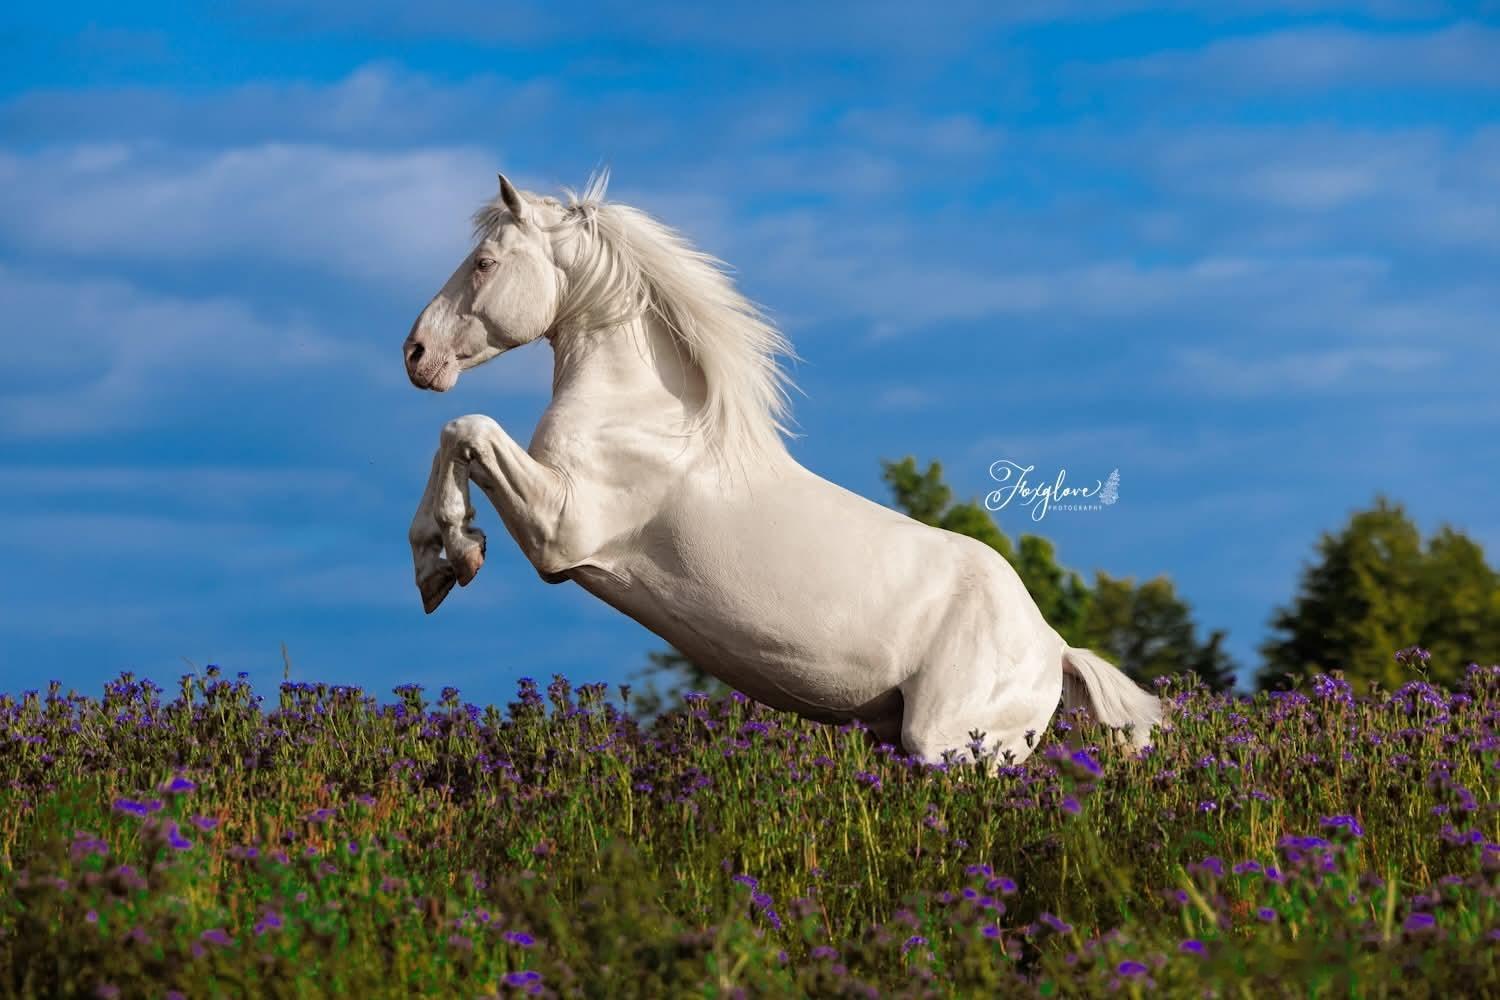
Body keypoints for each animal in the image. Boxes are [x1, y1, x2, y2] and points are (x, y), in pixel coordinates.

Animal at [402, 171, 1161, 764]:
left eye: (484, 263)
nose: (416, 354)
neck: (641, 412)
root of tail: (1054, 647)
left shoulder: (561, 532)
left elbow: (465, 429)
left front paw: (452, 556)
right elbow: (456, 438)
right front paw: (439, 565)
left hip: (952, 748)